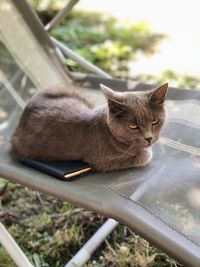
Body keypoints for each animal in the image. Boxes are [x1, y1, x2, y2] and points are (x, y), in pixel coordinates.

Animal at [10, 82, 167, 173]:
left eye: (155, 122)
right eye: (133, 126)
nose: (149, 138)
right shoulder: (100, 161)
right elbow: (144, 156)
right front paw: (146, 153)